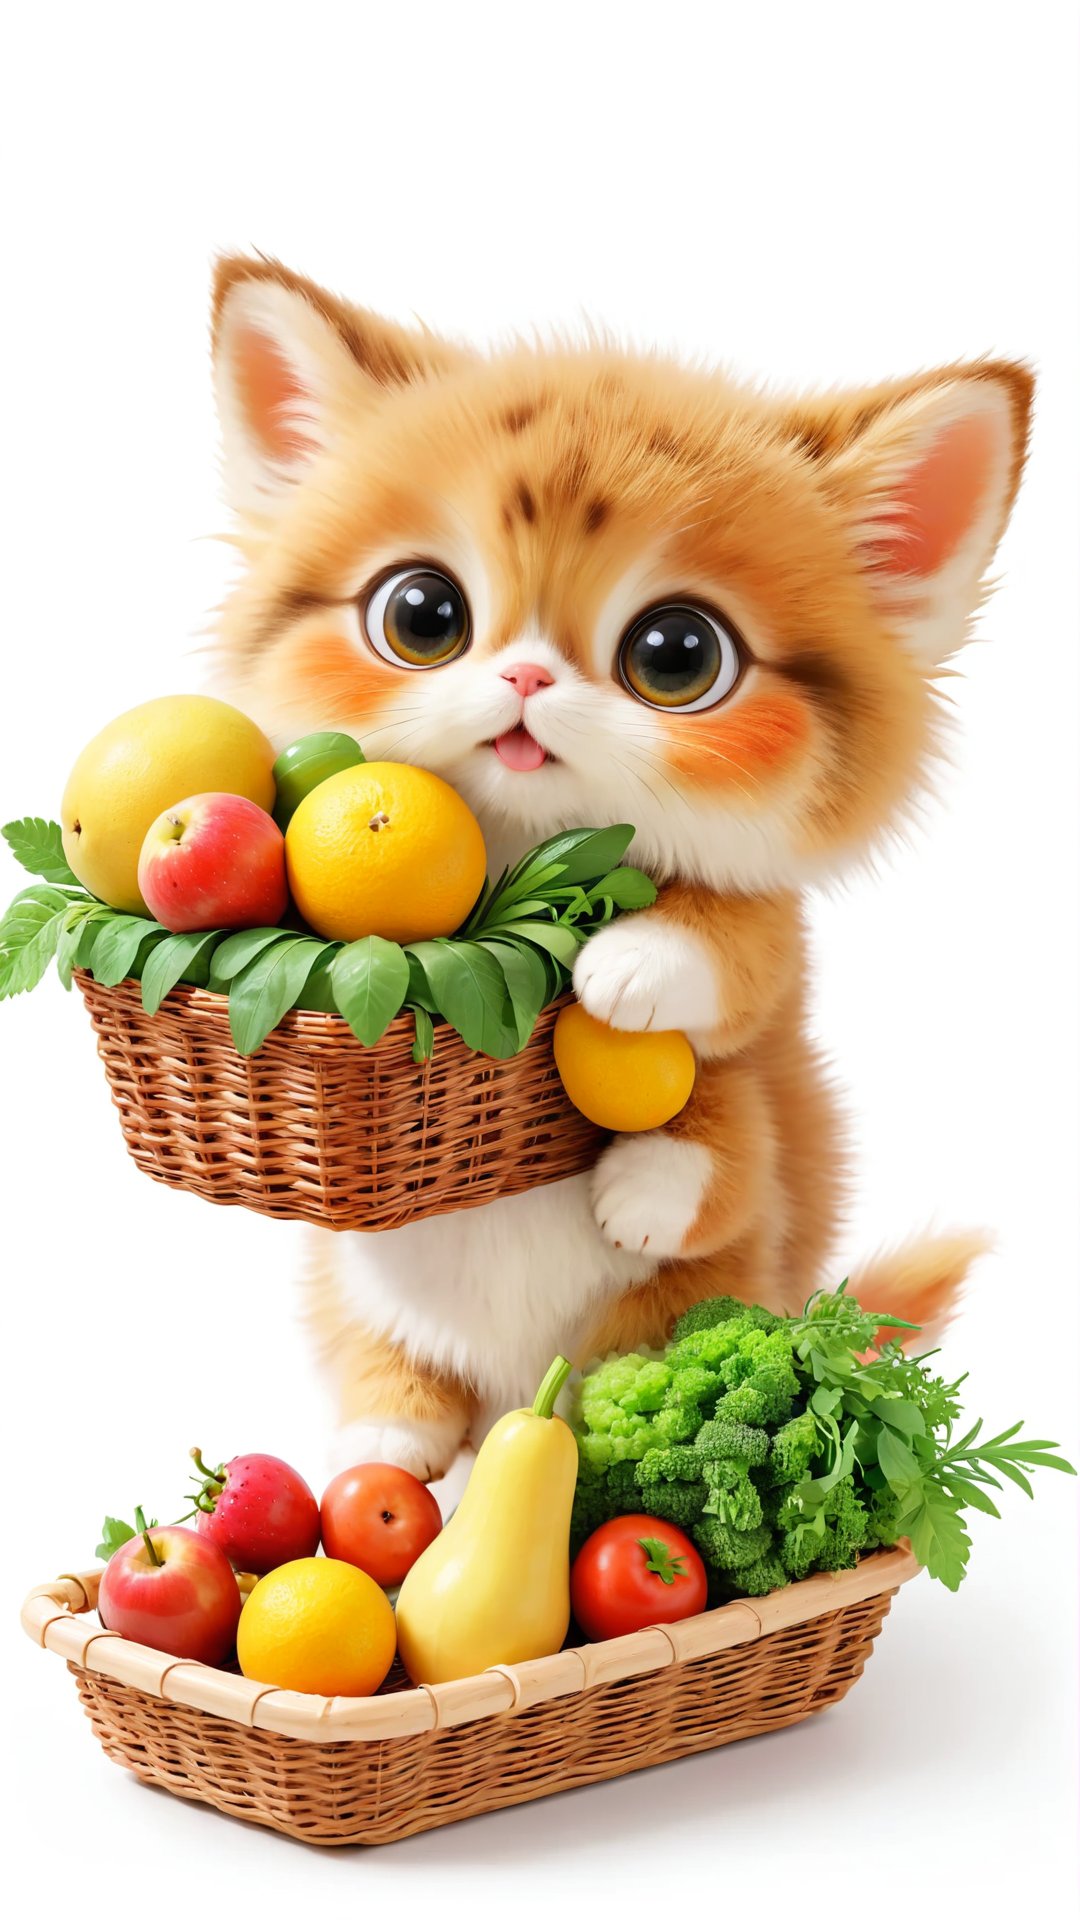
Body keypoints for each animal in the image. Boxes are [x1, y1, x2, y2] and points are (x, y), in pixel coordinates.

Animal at [205, 255, 1022, 1482]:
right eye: (422, 615)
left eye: (676, 655)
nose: (529, 677)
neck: (518, 863)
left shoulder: (768, 1024)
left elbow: (737, 1023)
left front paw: (634, 990)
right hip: (365, 1306)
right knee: (394, 1373)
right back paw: (386, 1447)